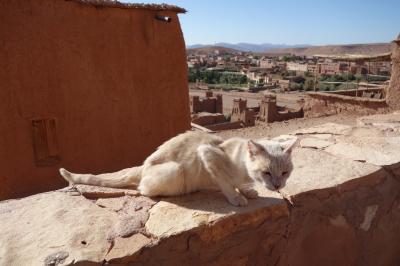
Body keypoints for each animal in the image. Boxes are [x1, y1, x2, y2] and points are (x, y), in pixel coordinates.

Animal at [60, 132, 296, 207]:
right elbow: (227, 184)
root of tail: (144, 165)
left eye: (285, 173)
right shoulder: (207, 153)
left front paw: (247, 190)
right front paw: (237, 197)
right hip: (176, 170)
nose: (277, 186)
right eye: (267, 173)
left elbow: (239, 184)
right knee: (143, 188)